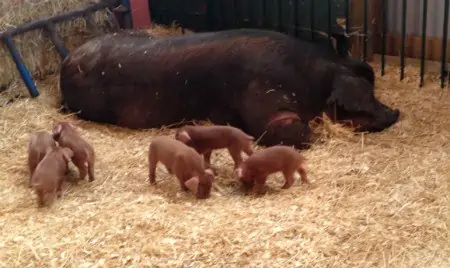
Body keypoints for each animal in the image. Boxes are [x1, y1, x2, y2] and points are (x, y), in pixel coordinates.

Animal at [58, 29, 400, 151]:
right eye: (365, 98)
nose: (396, 112)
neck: (312, 83)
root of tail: (65, 63)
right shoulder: (264, 103)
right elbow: (296, 133)